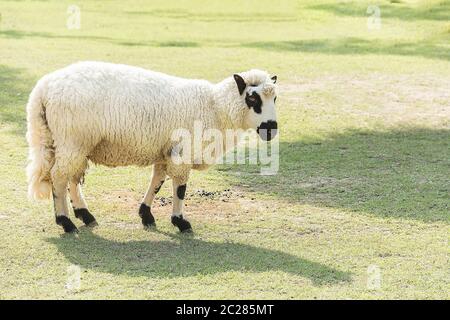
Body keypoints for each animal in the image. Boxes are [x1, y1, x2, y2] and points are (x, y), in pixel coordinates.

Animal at [27, 62, 278, 232]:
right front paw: (180, 221)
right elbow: (180, 188)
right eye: (252, 98)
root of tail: (43, 88)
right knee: (59, 177)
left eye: (275, 99)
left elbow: (157, 181)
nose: (271, 129)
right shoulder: (183, 152)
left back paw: (84, 214)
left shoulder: (166, 150)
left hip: (77, 142)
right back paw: (65, 221)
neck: (215, 108)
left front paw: (146, 214)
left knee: (71, 177)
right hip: (72, 139)